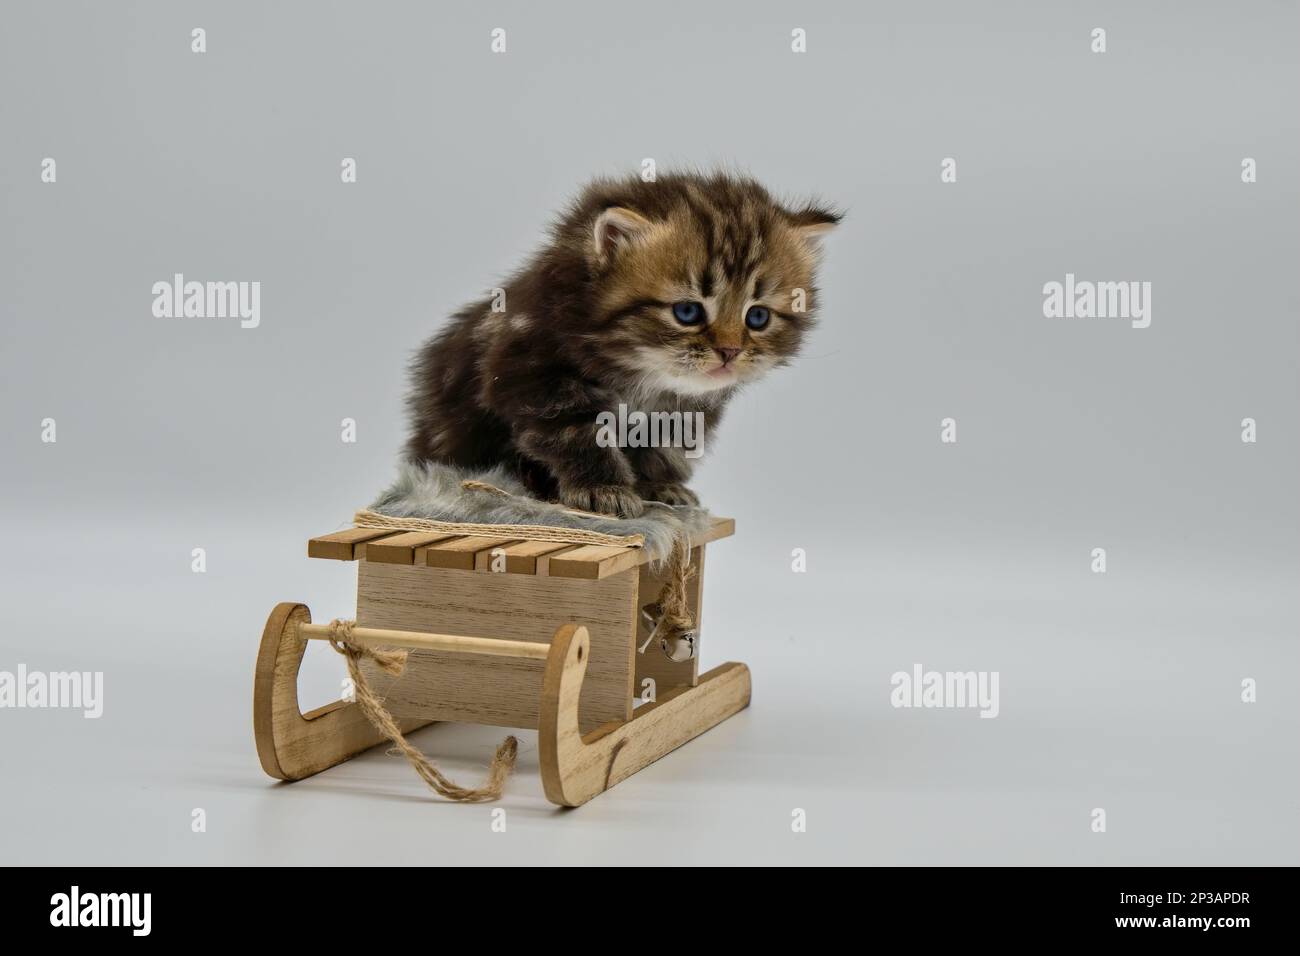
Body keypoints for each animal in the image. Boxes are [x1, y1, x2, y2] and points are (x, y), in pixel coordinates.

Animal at [400, 171, 837, 515]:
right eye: (688, 312)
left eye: (757, 317)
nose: (729, 352)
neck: (641, 373)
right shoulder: (530, 372)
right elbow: (579, 432)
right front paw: (602, 489)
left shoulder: (678, 411)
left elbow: (659, 446)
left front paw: (658, 486)